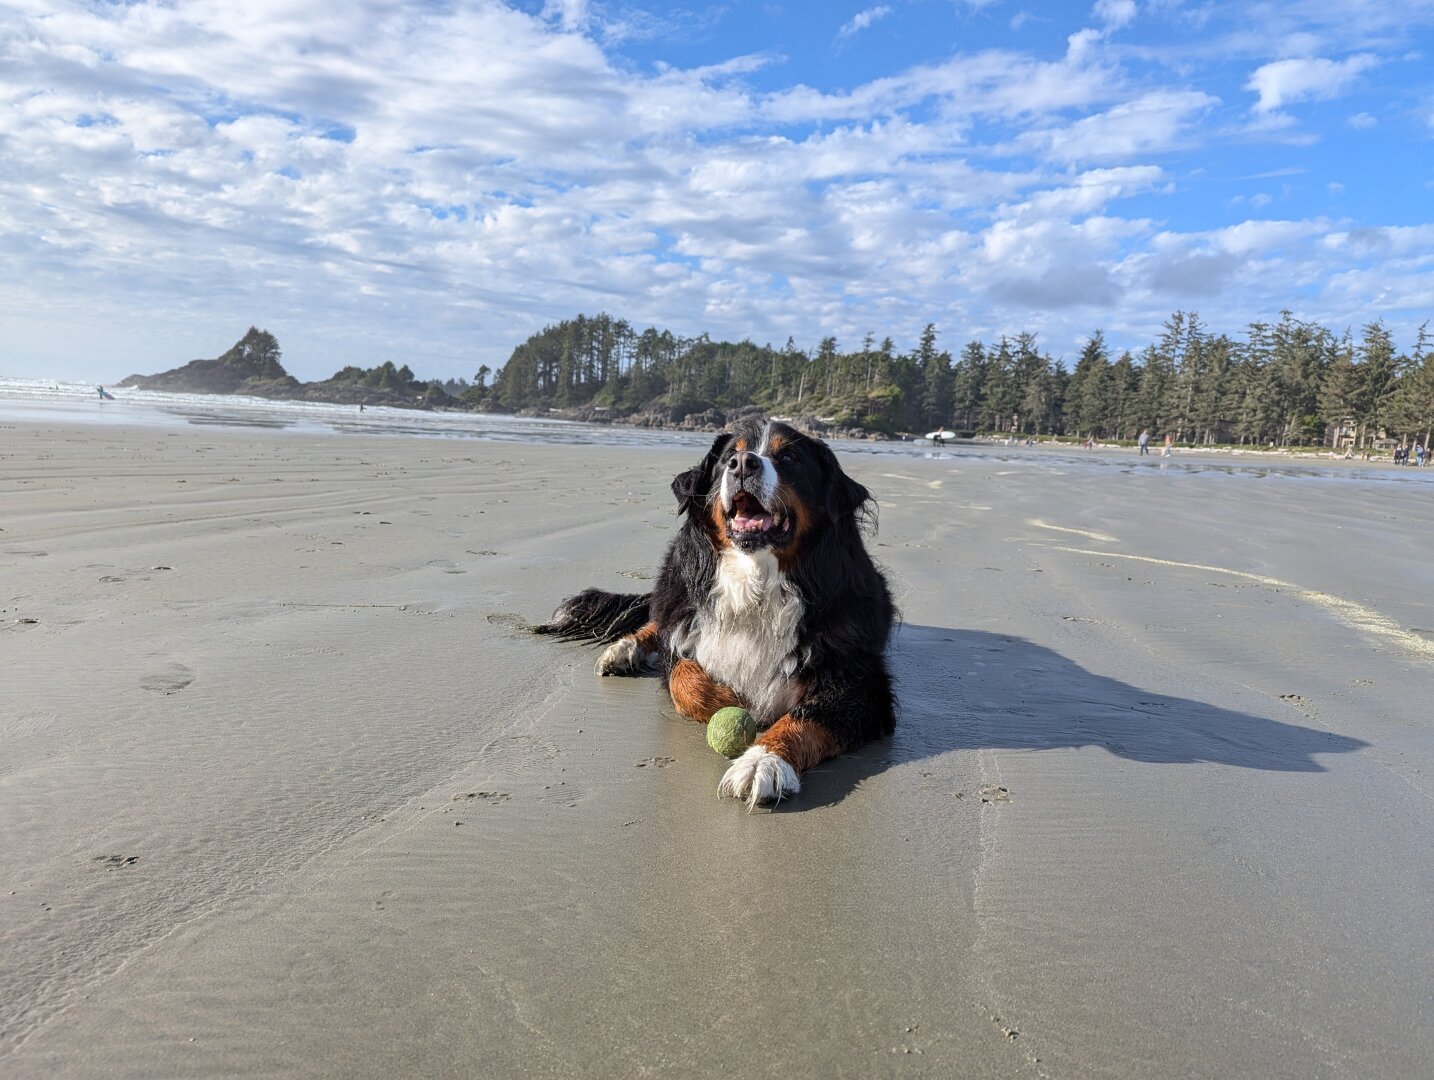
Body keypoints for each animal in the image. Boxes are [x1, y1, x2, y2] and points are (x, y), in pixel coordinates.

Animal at [536, 415, 894, 803]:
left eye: (790, 458)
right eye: (727, 458)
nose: (744, 464)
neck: (755, 582)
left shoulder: (861, 683)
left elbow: (808, 717)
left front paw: (764, 761)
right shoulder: (686, 638)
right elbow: (684, 677)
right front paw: (730, 700)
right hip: (673, 586)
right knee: (658, 622)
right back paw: (624, 649)